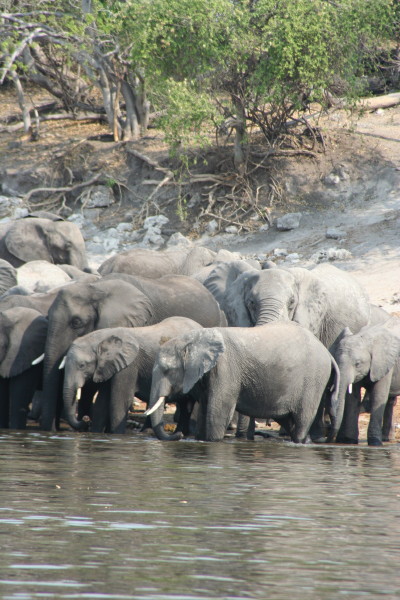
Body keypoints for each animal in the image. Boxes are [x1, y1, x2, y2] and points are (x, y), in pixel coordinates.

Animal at [62, 316, 203, 434]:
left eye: (82, 365)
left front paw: (117, 436)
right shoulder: (111, 366)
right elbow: (102, 402)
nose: (84, 421)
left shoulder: (129, 365)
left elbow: (120, 401)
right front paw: (95, 434)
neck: (104, 337)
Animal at [145, 322, 340, 442]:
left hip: (313, 379)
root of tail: (327, 353)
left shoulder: (226, 368)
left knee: (302, 420)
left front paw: (213, 441)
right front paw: (200, 439)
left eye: (167, 370)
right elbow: (206, 407)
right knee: (288, 421)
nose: (178, 434)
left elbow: (219, 410)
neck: (193, 338)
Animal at [332, 318, 400, 446]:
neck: (365, 339)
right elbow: (352, 398)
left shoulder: (383, 363)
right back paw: (387, 439)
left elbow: (378, 397)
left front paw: (375, 443)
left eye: (357, 364)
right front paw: (348, 441)